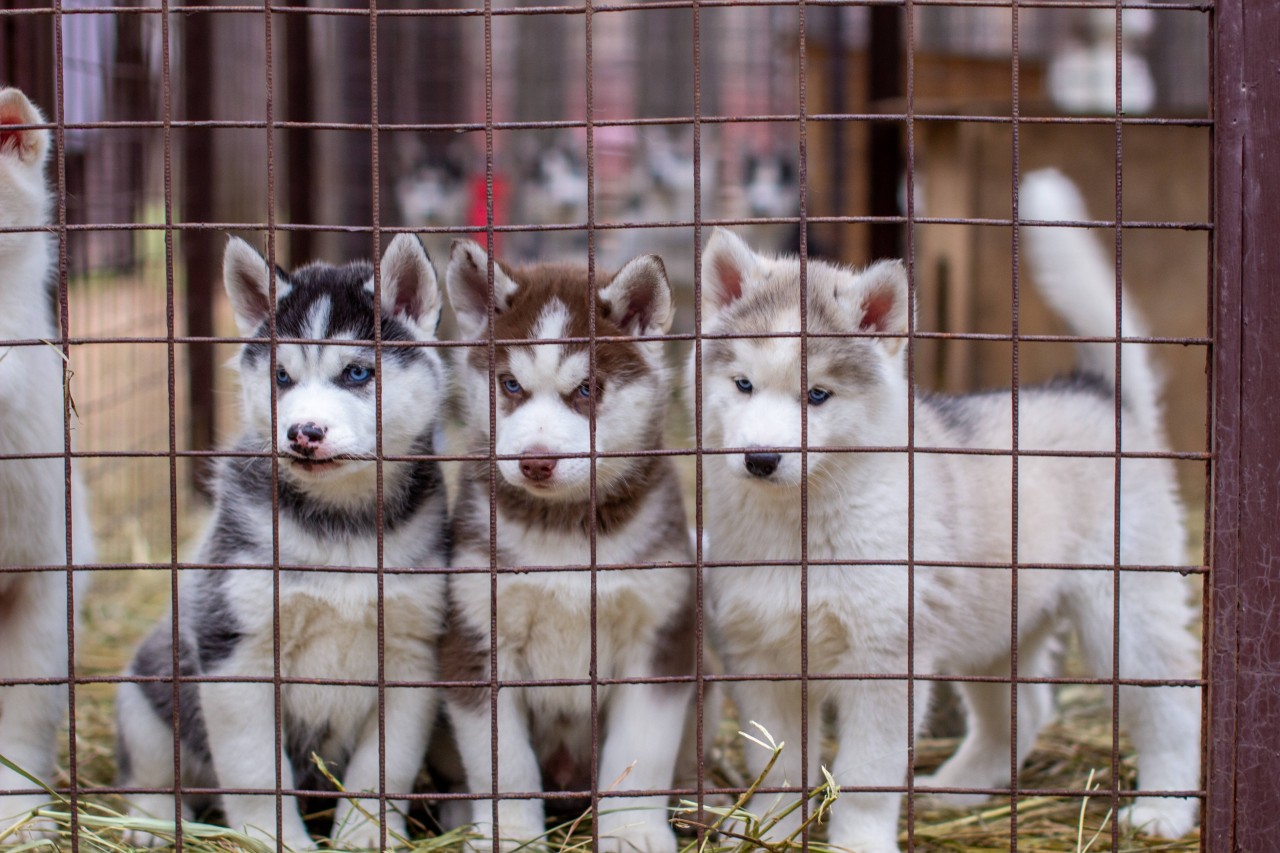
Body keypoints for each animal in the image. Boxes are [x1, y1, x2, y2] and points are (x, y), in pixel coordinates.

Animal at [115, 230, 453, 845]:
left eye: (357, 374)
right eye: (281, 377)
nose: (303, 432)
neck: (340, 525)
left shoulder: (413, 652)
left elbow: (383, 769)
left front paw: (366, 835)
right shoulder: (233, 645)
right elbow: (254, 771)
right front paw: (274, 838)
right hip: (144, 690)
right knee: (149, 766)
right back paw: (149, 819)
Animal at [442, 236, 701, 850]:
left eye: (587, 389)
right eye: (510, 385)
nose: (536, 461)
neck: (561, 529)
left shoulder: (661, 635)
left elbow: (640, 752)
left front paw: (634, 831)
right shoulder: (476, 637)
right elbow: (503, 763)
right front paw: (508, 833)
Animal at [691, 189, 1198, 845]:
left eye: (818, 396)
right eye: (743, 385)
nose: (760, 458)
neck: (797, 524)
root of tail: (1098, 393)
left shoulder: (886, 661)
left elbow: (865, 775)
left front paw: (857, 843)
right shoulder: (760, 659)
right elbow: (775, 765)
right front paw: (767, 832)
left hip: (1127, 615)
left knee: (1170, 704)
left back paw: (1165, 809)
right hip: (995, 629)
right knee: (1022, 711)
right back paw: (962, 788)